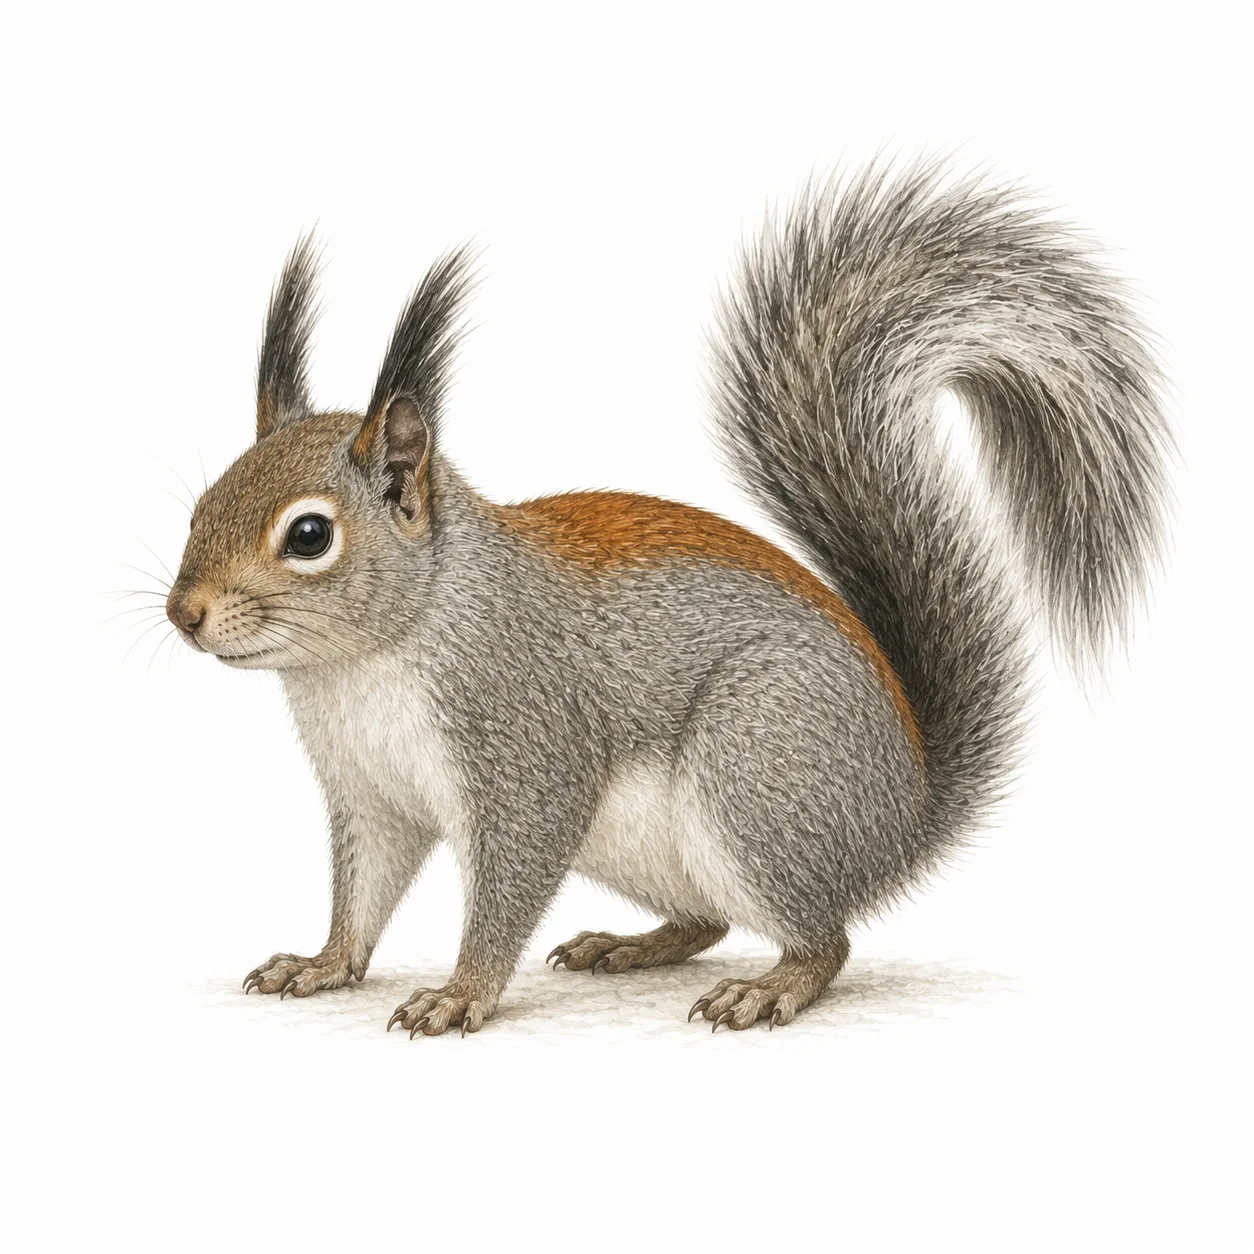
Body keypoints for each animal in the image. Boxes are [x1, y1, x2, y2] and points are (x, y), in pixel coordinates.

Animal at [167, 159, 1171, 1036]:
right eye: (202, 503)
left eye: (309, 536)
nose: (183, 614)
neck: (364, 662)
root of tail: (904, 817)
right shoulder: (371, 795)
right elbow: (362, 891)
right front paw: (323, 963)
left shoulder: (527, 751)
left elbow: (506, 888)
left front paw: (460, 994)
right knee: (711, 919)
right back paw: (629, 945)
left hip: (757, 771)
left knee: (825, 939)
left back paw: (768, 988)